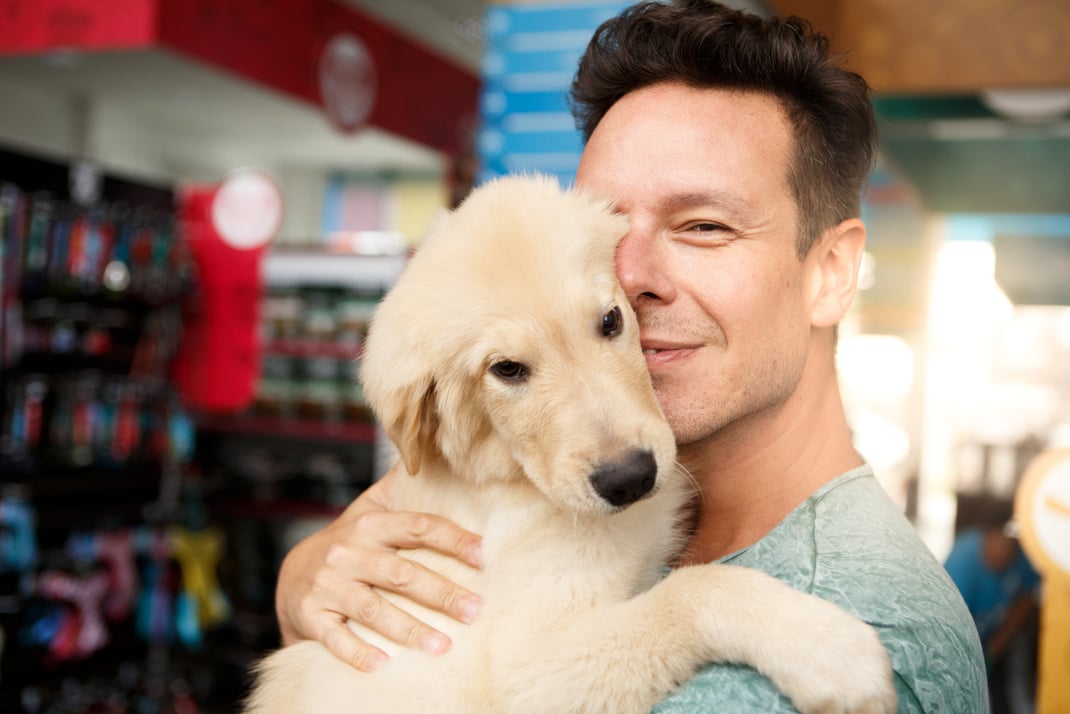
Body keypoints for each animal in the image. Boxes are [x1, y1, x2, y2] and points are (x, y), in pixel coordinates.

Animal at [246, 174, 898, 714]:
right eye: (506, 370)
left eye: (611, 321)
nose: (630, 479)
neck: (513, 485)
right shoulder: (524, 669)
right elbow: (691, 590)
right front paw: (827, 649)